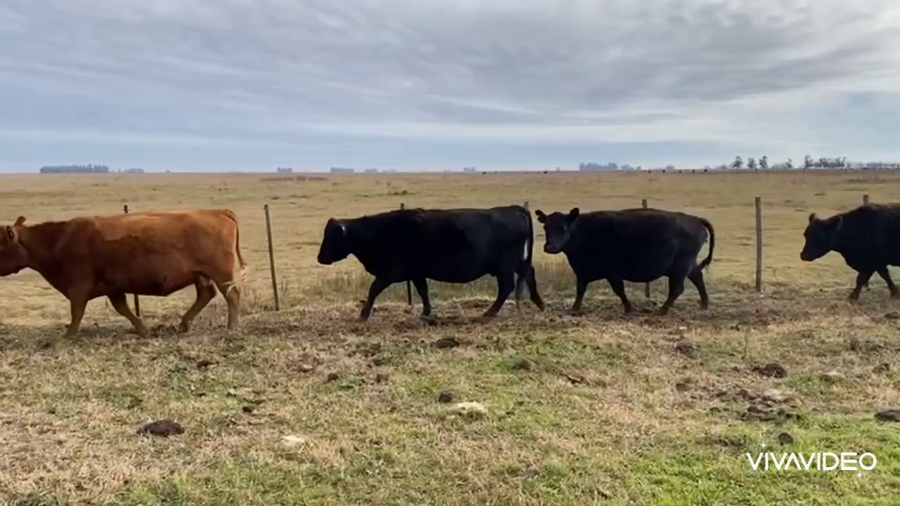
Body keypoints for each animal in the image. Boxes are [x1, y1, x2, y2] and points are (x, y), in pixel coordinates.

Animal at [0, 209, 246, 338]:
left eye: (1, 245)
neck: (59, 239)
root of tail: (217, 212)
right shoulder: (113, 288)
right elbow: (123, 309)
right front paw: (142, 329)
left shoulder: (79, 286)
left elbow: (77, 312)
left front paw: (69, 335)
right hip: (201, 275)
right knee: (206, 294)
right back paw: (184, 324)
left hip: (221, 273)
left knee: (231, 296)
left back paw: (231, 327)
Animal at [316, 205, 545, 321]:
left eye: (332, 237)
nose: (320, 258)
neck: (380, 231)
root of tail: (513, 209)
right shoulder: (416, 272)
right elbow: (423, 290)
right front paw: (426, 312)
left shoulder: (392, 272)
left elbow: (374, 289)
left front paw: (364, 314)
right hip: (517, 263)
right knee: (530, 274)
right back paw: (539, 303)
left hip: (505, 265)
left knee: (506, 287)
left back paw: (489, 313)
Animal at [534, 207, 715, 315]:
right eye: (546, 227)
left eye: (562, 227)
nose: (549, 246)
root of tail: (695, 219)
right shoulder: (583, 272)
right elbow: (580, 290)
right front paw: (574, 309)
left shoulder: (613, 272)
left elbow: (619, 290)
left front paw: (628, 308)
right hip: (688, 265)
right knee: (698, 278)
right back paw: (704, 305)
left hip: (679, 268)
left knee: (677, 289)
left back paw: (662, 311)